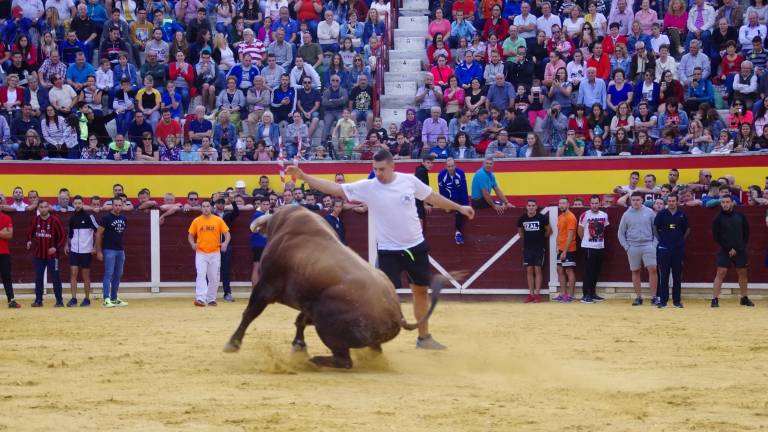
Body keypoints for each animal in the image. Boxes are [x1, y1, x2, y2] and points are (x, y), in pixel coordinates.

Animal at [222, 206, 440, 368]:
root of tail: (397, 315)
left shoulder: (266, 286)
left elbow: (250, 313)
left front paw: (232, 344)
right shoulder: (305, 300)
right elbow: (299, 320)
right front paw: (298, 346)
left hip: (326, 322)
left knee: (344, 360)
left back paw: (312, 362)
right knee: (373, 352)